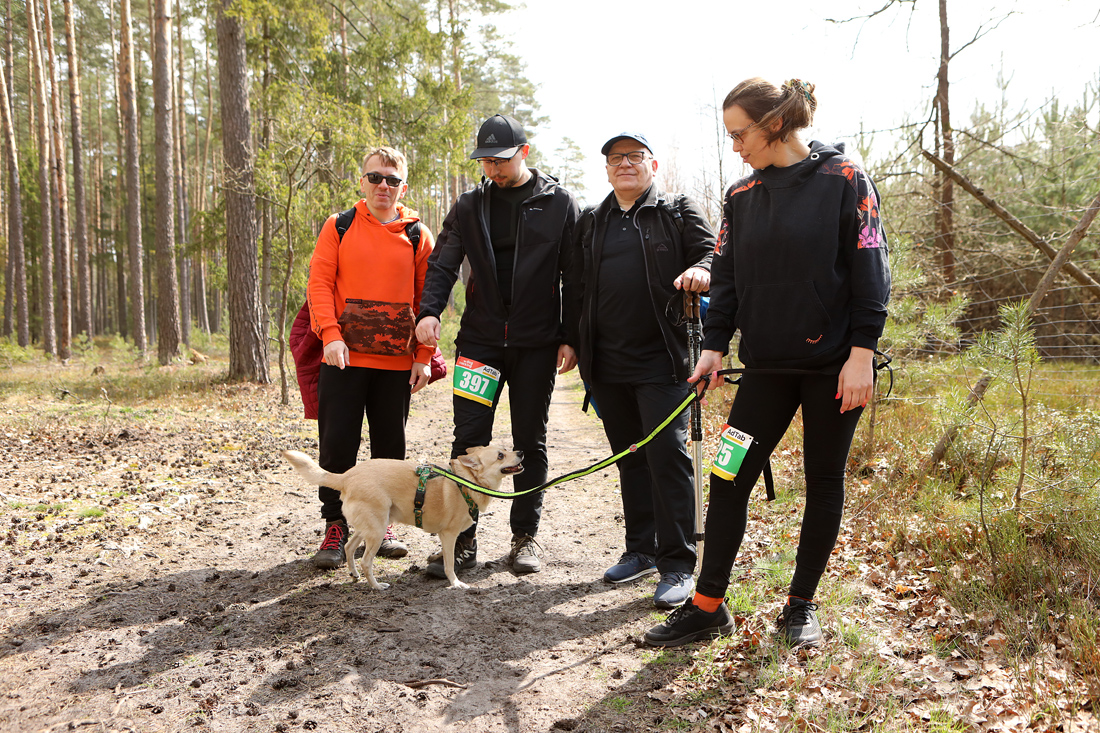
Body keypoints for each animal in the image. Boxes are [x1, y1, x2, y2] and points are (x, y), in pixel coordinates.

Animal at [282, 446, 523, 590]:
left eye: (507, 448)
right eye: (500, 456)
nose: (520, 451)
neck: (467, 480)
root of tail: (346, 476)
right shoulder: (448, 535)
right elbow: (448, 565)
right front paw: (455, 583)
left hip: (372, 526)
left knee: (350, 547)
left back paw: (354, 575)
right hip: (377, 530)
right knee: (366, 560)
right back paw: (376, 586)